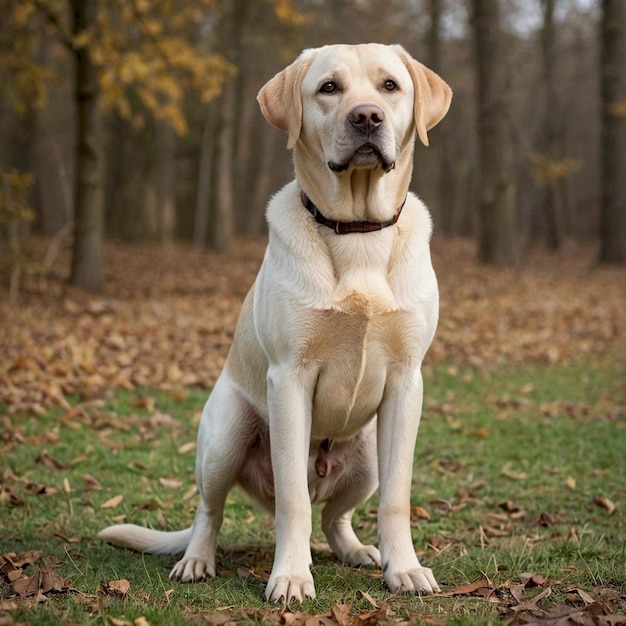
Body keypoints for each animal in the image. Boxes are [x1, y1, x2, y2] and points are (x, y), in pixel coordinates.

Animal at [98, 42, 448, 600]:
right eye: (329, 87)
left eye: (389, 86)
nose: (366, 117)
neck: (357, 232)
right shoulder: (288, 379)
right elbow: (292, 501)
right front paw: (290, 576)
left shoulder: (405, 382)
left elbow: (396, 498)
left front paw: (405, 568)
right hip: (225, 434)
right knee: (211, 511)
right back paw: (196, 561)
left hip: (368, 453)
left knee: (335, 516)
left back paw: (356, 551)